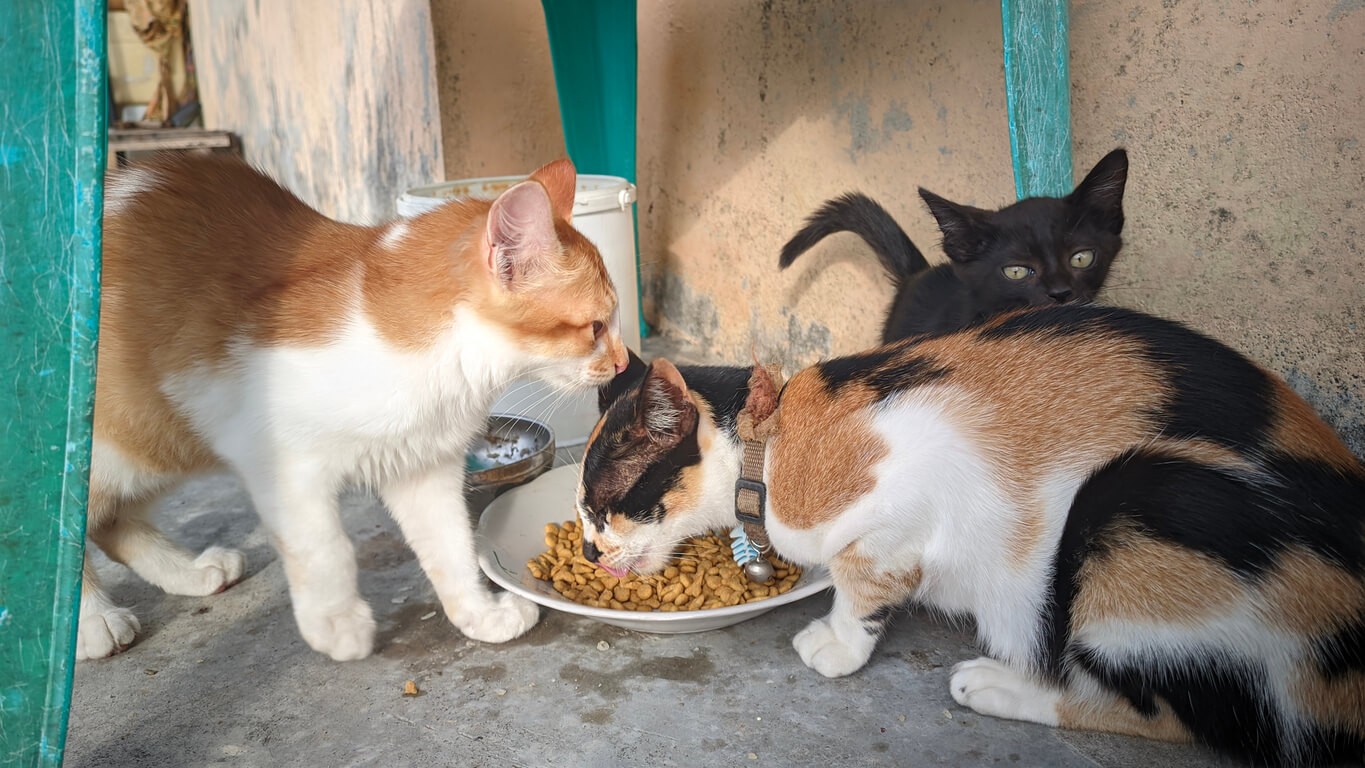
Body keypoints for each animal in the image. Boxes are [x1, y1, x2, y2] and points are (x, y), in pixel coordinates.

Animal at [88, 154, 630, 660]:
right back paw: (98, 621)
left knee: (111, 525)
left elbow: (451, 546)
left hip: (157, 449)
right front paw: (336, 626)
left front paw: (478, 615)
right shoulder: (281, 465)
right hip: (124, 444)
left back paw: (190, 572)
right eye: (596, 327)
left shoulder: (422, 466)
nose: (624, 363)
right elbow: (325, 550)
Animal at [584, 305, 1365, 763]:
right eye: (584, 512)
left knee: (1181, 716)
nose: (589, 547)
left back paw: (996, 684)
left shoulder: (907, 489)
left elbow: (862, 581)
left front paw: (837, 644)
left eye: (602, 504)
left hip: (1138, 501)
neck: (769, 439)